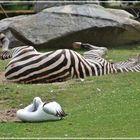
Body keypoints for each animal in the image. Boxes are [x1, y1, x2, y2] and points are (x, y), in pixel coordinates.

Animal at [0, 32, 140, 83]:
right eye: (129, 59)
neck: (112, 69)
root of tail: (9, 72)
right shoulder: (93, 57)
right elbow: (104, 49)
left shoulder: (93, 56)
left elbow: (104, 49)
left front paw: (81, 44)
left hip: (26, 49)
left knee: (6, 52)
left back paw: (3, 37)